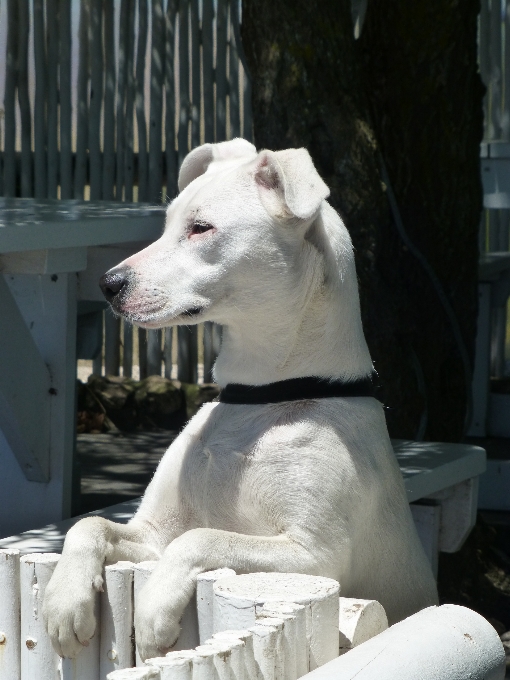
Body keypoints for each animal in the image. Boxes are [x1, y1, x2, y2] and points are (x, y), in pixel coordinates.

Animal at [41, 135, 436, 660]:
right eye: (168, 224)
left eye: (201, 228)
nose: (108, 285)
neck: (262, 400)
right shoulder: (152, 533)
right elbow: (89, 525)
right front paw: (66, 600)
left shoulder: (314, 556)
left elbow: (201, 537)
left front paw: (153, 610)